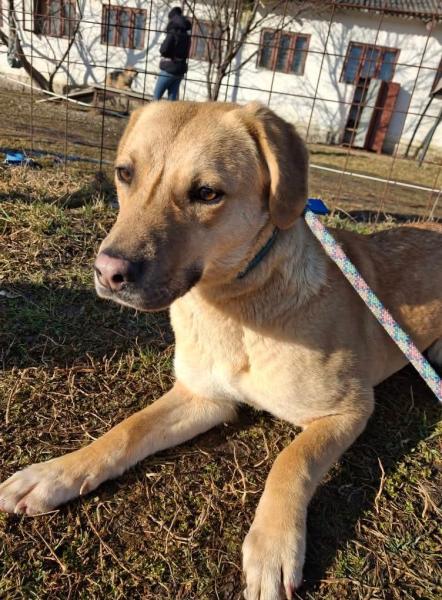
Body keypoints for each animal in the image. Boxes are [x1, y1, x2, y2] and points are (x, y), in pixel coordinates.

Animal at [1, 101, 441, 600]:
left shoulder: (349, 409)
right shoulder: (204, 397)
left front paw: (272, 547)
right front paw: (55, 474)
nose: (108, 272)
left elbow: (292, 461)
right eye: (124, 173)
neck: (233, 309)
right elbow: (127, 431)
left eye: (207, 193)